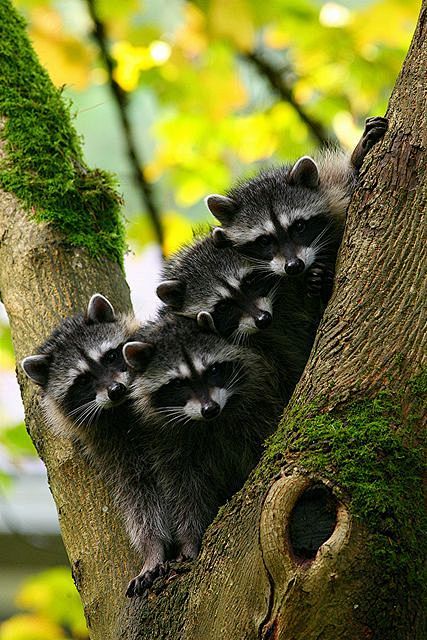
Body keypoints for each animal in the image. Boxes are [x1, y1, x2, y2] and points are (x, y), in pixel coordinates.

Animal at [20, 296, 171, 596]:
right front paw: (153, 547)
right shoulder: (113, 446)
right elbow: (139, 496)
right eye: (82, 380)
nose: (116, 390)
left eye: (110, 356)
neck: (121, 411)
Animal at [123, 314, 284, 596]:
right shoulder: (165, 443)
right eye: (178, 383)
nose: (210, 408)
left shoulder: (257, 407)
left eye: (213, 370)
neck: (208, 423)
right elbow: (184, 493)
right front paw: (190, 539)